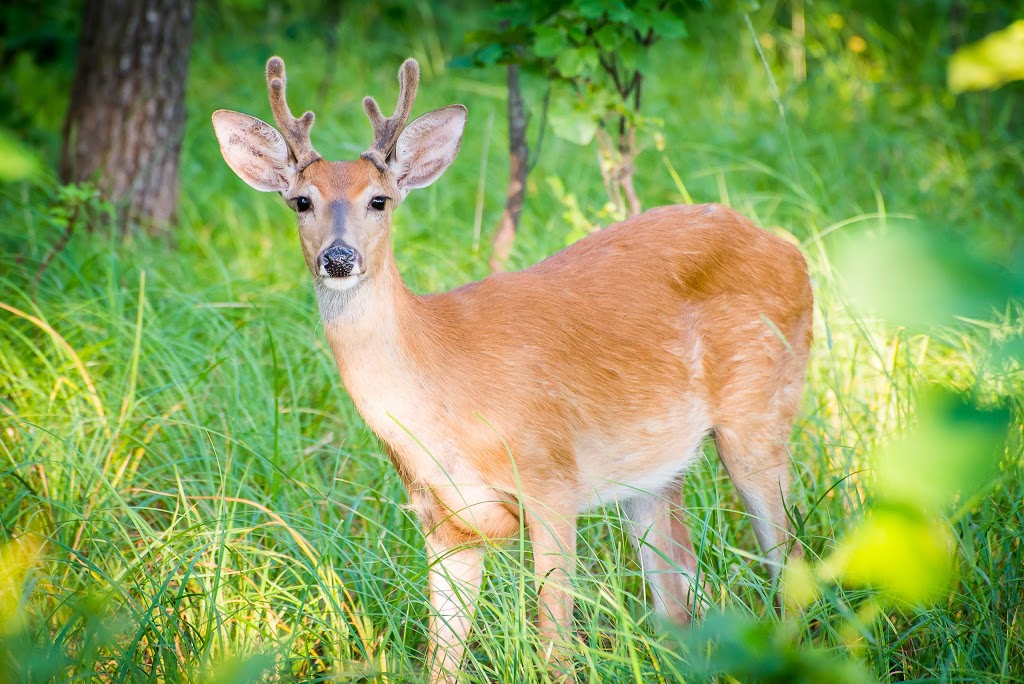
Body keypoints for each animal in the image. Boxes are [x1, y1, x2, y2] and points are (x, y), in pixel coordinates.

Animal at [209, 56, 815, 679]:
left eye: (379, 199)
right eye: (301, 201)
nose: (337, 257)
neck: (443, 383)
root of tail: (789, 250)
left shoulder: (553, 482)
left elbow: (555, 648)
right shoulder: (442, 520)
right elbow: (441, 658)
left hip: (761, 411)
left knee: (790, 564)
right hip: (653, 472)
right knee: (681, 604)